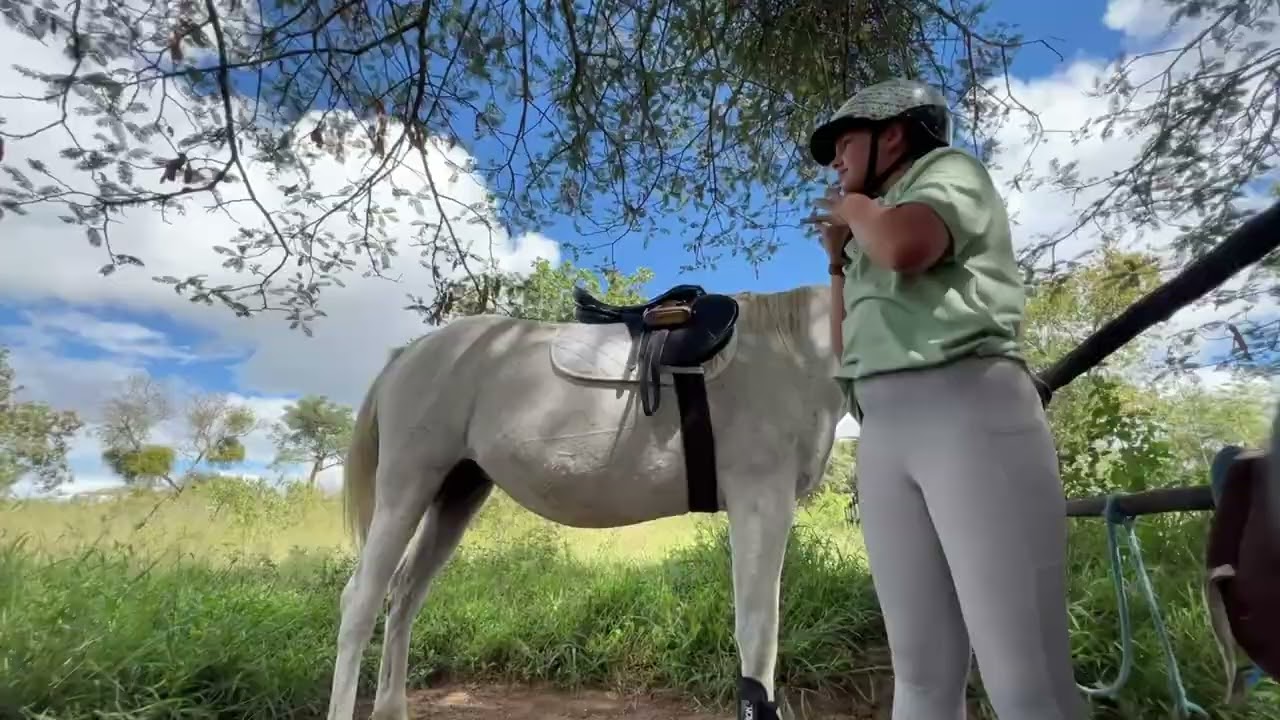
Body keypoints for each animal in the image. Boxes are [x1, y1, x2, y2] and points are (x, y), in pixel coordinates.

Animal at [324, 283, 847, 720]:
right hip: (406, 487)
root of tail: (407, 355)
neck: (793, 349)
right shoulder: (761, 498)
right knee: (361, 601)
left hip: (456, 494)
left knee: (405, 594)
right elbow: (758, 636)